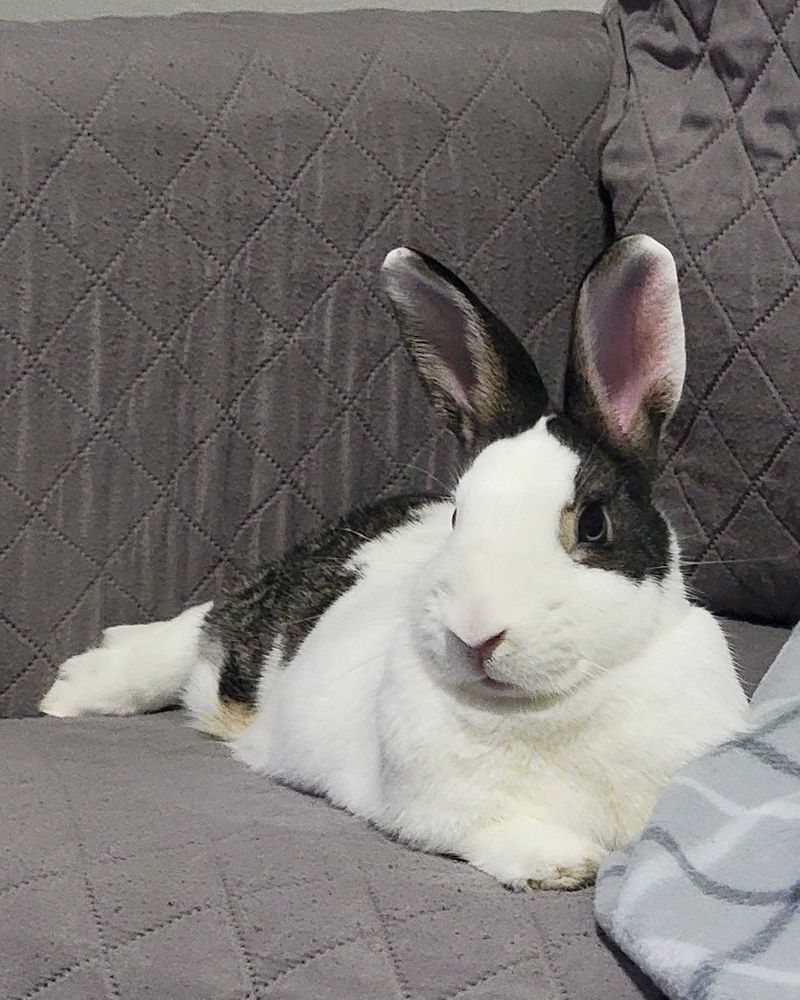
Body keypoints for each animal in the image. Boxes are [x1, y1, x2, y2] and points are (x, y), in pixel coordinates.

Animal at [40, 235, 748, 890]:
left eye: (594, 524)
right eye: (459, 515)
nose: (476, 634)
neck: (546, 706)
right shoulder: (437, 810)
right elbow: (497, 831)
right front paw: (565, 864)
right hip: (251, 641)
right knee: (202, 631)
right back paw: (74, 689)